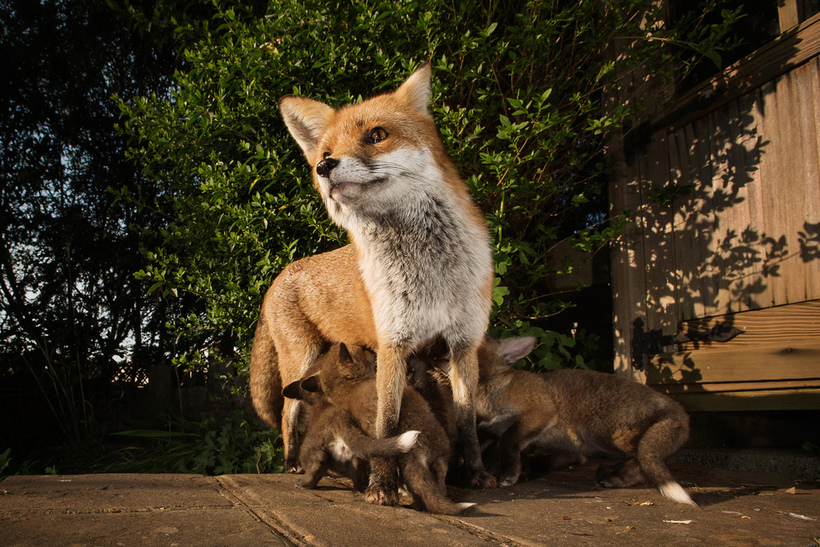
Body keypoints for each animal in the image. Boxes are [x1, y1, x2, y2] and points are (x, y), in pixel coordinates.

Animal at [250, 63, 494, 506]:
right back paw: (292, 462)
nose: (324, 168)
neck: (430, 273)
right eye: (324, 153)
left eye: (377, 135)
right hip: (301, 357)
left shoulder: (463, 344)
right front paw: (382, 485)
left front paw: (476, 473)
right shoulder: (392, 344)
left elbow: (467, 420)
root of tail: (281, 272)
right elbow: (386, 424)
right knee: (287, 411)